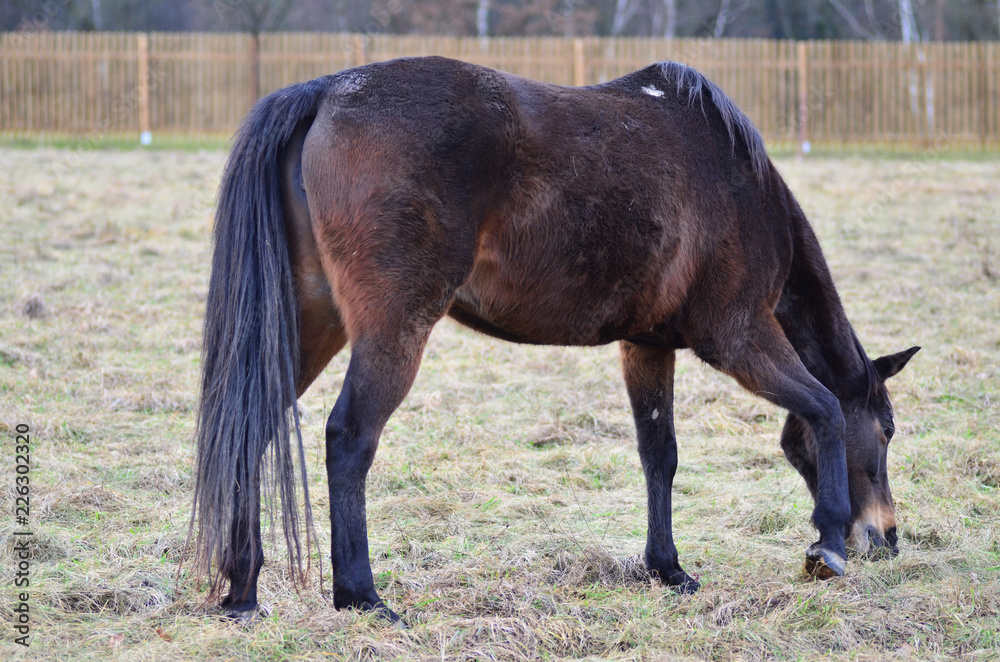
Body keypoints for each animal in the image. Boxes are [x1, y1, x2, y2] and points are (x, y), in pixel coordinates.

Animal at [189, 55, 919, 622]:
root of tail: (326, 90)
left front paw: (667, 569)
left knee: (251, 429)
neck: (739, 183)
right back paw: (361, 596)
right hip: (392, 331)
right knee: (349, 439)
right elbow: (824, 408)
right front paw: (827, 543)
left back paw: (243, 591)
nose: (887, 537)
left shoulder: (647, 345)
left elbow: (660, 456)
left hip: (314, 322)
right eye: (885, 431)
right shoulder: (740, 337)